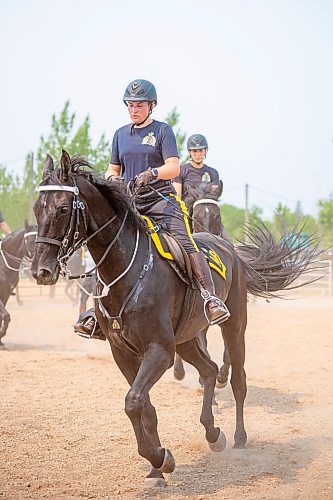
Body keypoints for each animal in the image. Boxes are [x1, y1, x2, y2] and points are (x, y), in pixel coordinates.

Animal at [31, 150, 320, 486]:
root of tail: (231, 251)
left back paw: (238, 438)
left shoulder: (159, 351)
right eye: (37, 208)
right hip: (185, 340)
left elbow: (133, 401)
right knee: (208, 370)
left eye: (64, 208)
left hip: (233, 327)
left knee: (237, 380)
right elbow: (143, 406)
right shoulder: (123, 353)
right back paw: (213, 434)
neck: (128, 271)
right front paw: (157, 468)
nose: (41, 271)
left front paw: (160, 457)